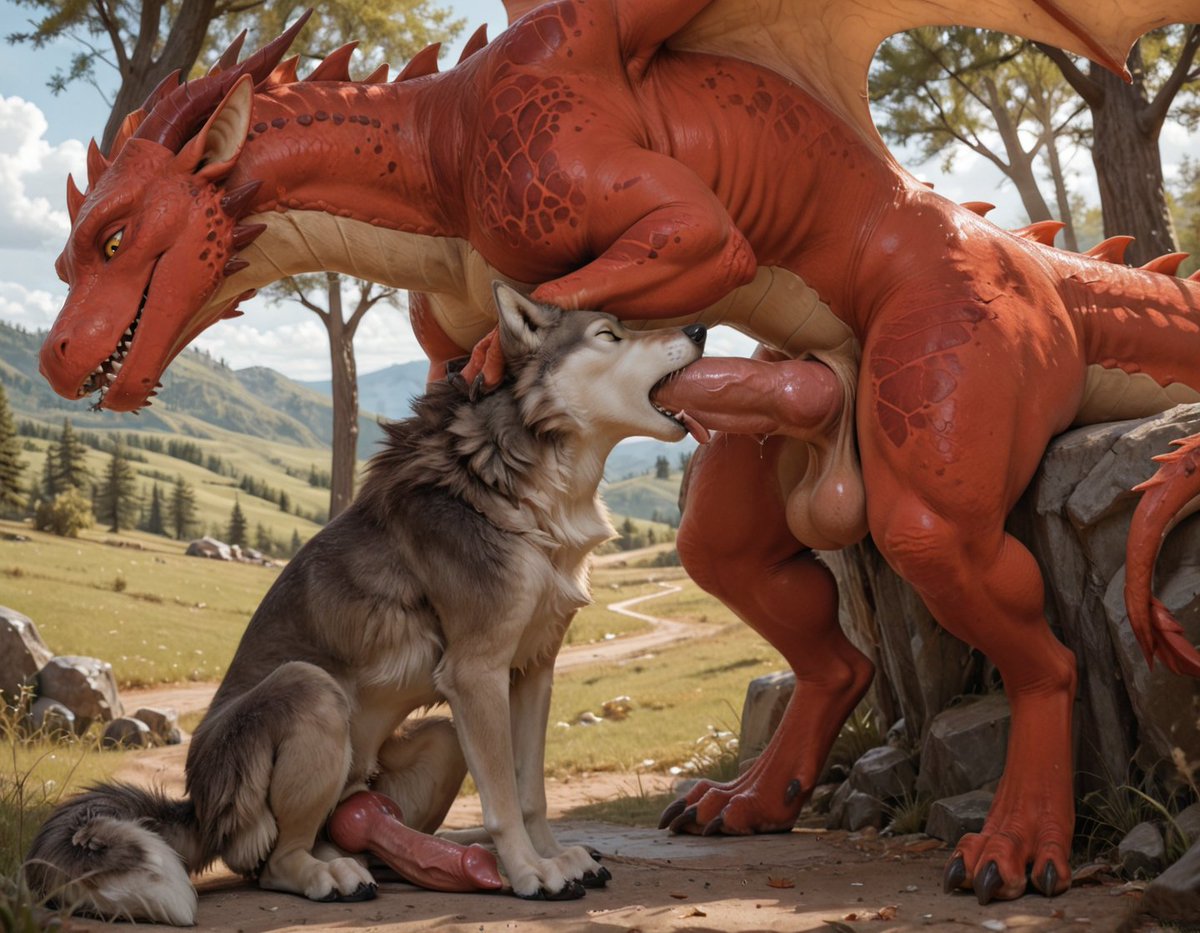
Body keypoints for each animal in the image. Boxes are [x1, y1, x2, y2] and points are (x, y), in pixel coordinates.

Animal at [25, 282, 708, 924]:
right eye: (609, 334)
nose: (702, 327)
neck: (526, 482)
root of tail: (198, 805)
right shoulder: (476, 671)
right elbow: (503, 800)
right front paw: (527, 872)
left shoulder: (532, 670)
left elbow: (529, 790)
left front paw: (553, 856)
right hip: (310, 693)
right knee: (272, 861)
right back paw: (328, 876)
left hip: (438, 743)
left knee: (348, 831)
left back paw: (393, 860)